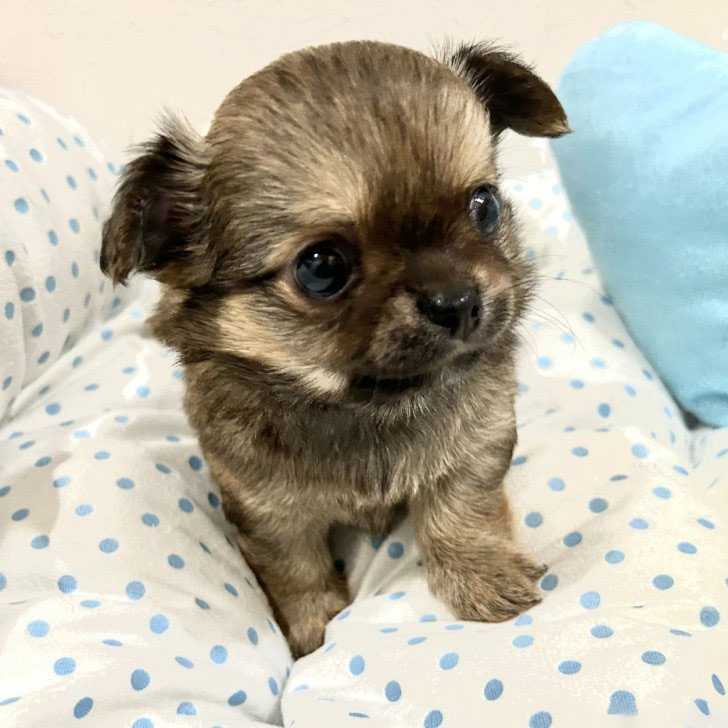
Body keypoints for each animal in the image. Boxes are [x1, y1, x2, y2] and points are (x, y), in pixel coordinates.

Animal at [100, 40, 569, 657]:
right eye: (321, 268)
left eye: (484, 207)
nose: (459, 301)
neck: (367, 407)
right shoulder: (265, 507)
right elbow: (297, 571)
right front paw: (313, 632)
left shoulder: (477, 444)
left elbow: (461, 512)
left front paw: (483, 579)